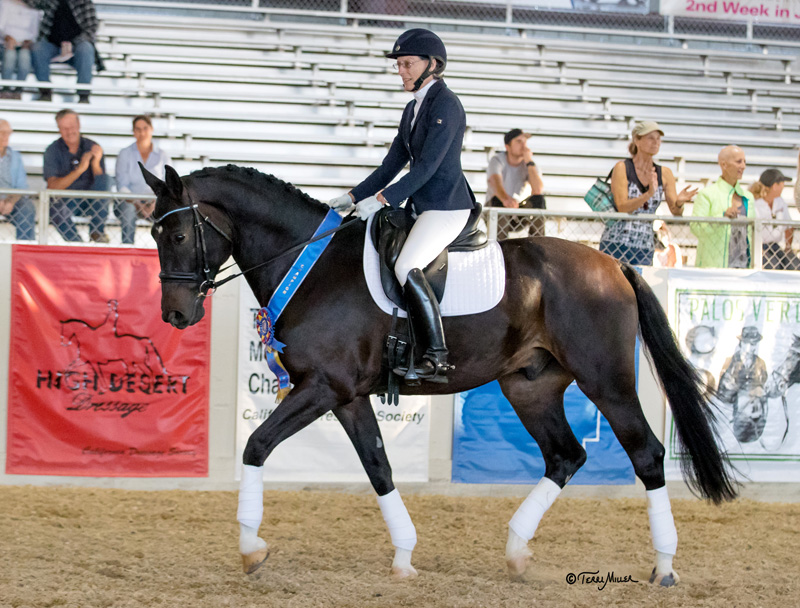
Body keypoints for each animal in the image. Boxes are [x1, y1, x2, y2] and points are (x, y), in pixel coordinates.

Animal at [141, 164, 736, 588]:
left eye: (177, 236)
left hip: (606, 381)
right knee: (565, 456)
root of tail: (612, 263)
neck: (309, 266)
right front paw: (404, 557)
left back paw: (664, 567)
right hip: (529, 386)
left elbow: (257, 446)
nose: (174, 315)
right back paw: (517, 552)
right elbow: (378, 466)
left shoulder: (322, 388)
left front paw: (250, 549)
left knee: (646, 454)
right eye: (153, 234)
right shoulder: (345, 396)